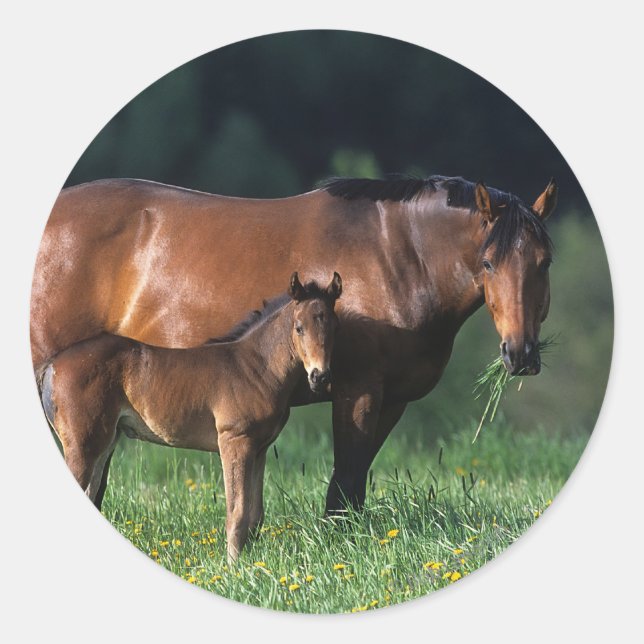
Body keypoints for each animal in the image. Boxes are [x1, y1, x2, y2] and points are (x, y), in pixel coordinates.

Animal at [31, 174, 557, 515]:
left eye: (544, 261)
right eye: (488, 263)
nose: (521, 354)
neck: (399, 254)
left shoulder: (392, 400)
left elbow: (354, 485)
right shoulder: (357, 391)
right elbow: (344, 485)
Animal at [40, 272, 342, 560]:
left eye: (333, 326)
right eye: (299, 328)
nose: (320, 376)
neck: (256, 367)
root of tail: (52, 364)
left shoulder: (259, 449)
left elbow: (255, 514)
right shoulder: (235, 441)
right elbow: (237, 511)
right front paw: (234, 568)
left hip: (103, 444)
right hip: (81, 446)